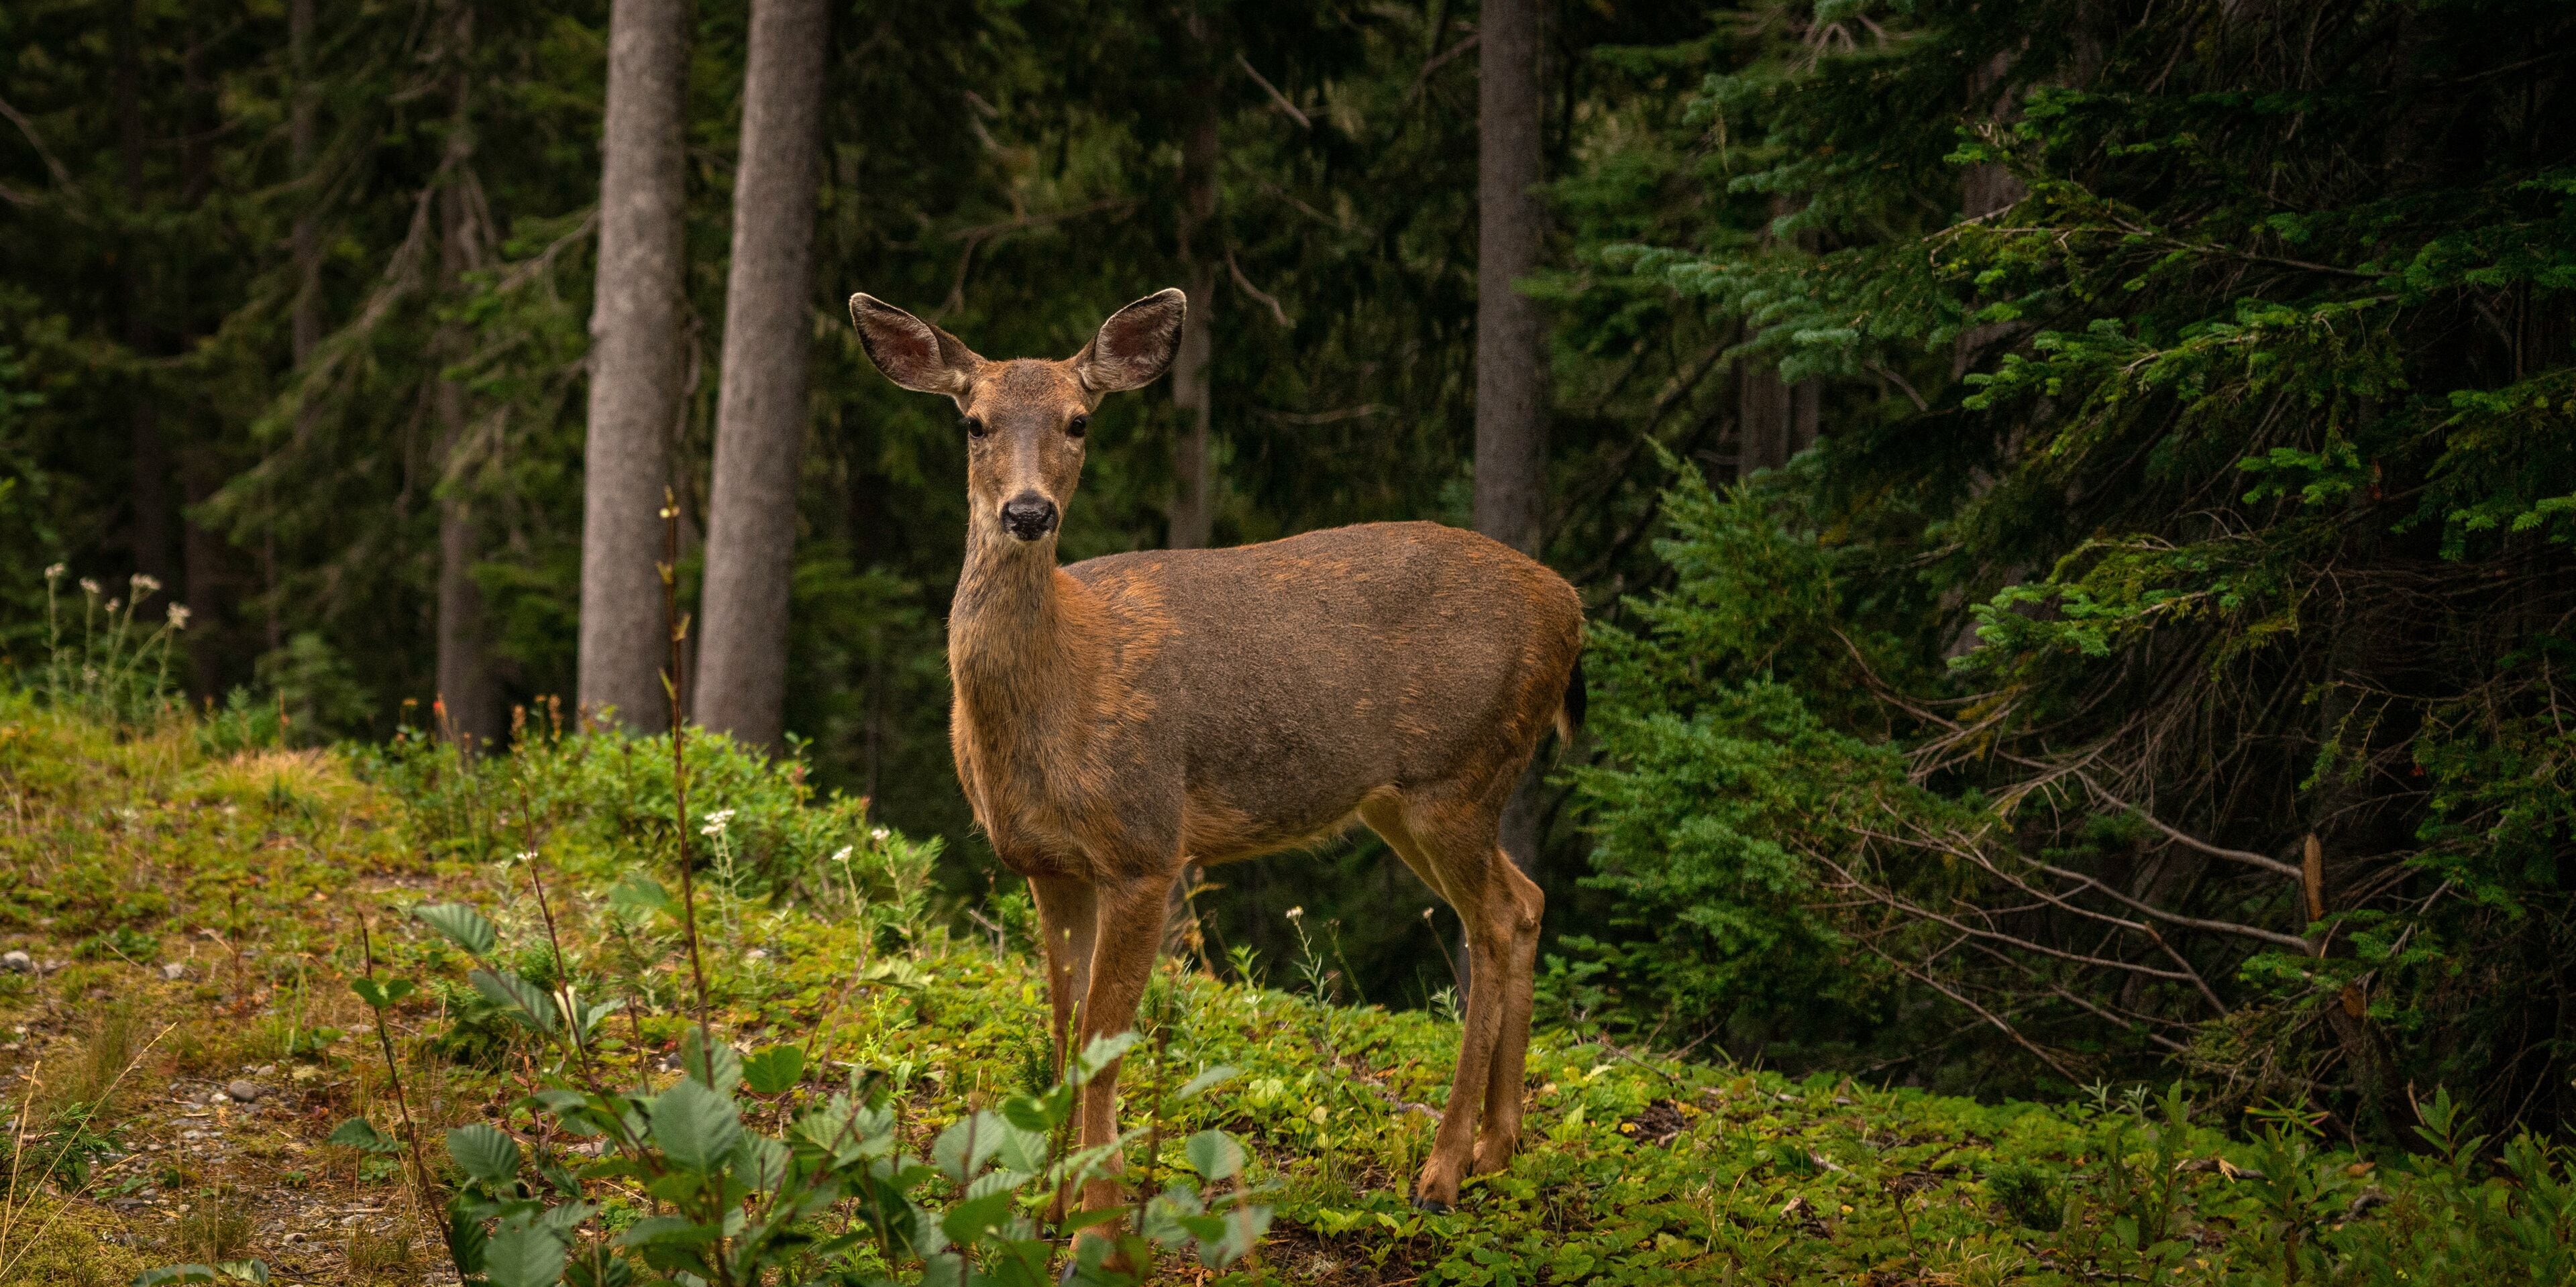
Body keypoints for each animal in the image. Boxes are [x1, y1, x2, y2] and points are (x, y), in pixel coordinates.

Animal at [846, 288, 1585, 1229]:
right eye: (973, 422)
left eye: (1080, 420)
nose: (1028, 513)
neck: (1058, 689)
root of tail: (1571, 607)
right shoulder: (1046, 863)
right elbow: (1062, 1027)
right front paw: (1050, 1200)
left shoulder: (1144, 845)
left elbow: (1102, 1037)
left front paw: (1097, 1211)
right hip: (1412, 798)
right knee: (1525, 901)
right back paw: (1499, 1144)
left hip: (1457, 774)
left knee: (1489, 924)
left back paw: (1442, 1168)